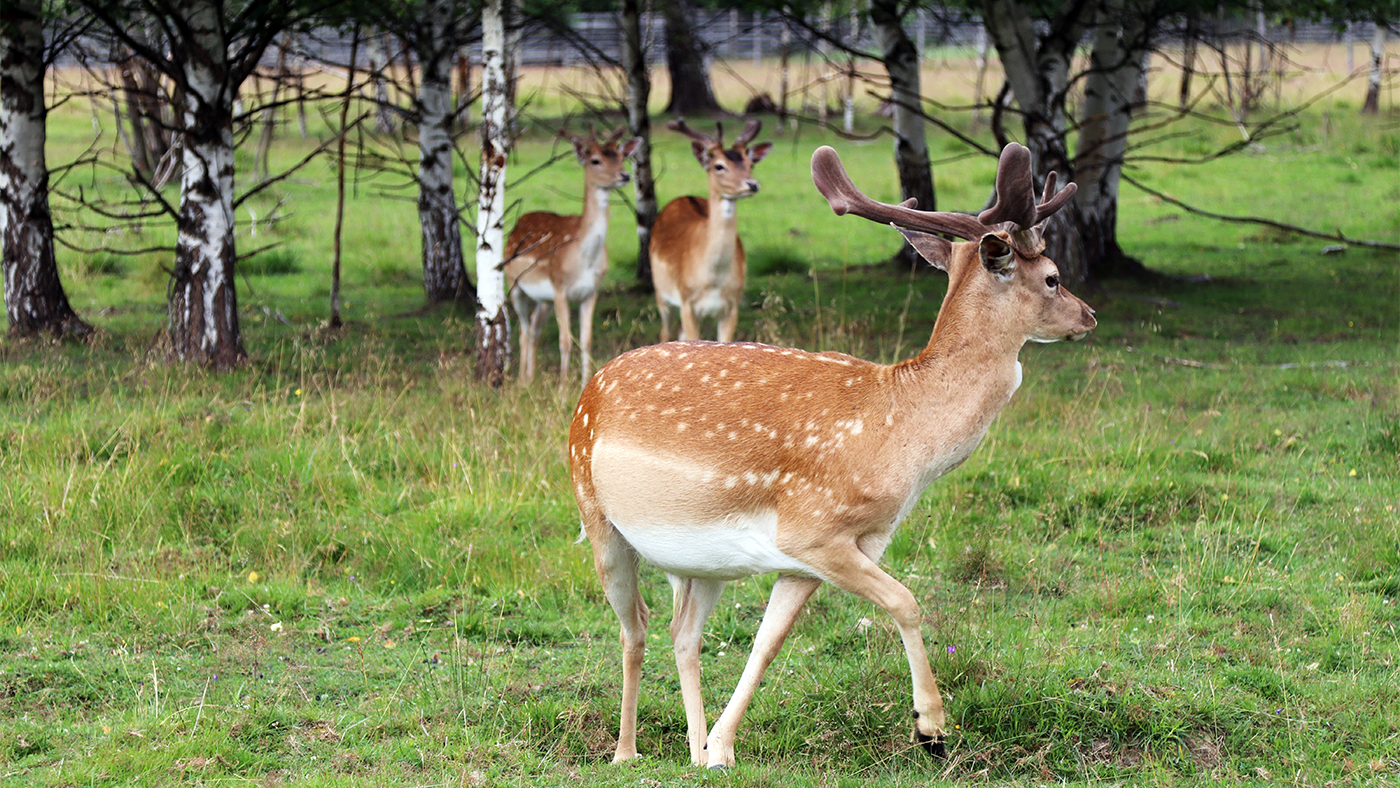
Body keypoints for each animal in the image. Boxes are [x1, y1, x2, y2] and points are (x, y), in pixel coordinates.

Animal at [506, 127, 641, 386]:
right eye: (595, 160)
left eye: (621, 156)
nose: (624, 175)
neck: (584, 260)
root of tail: (519, 223)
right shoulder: (560, 289)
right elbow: (565, 341)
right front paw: (562, 386)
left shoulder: (591, 292)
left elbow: (586, 340)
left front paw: (586, 382)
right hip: (514, 284)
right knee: (523, 330)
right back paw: (521, 381)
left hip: (544, 300)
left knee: (534, 329)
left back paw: (531, 377)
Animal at [565, 143, 1092, 772]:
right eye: (1053, 277)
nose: (1088, 315)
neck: (904, 438)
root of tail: (589, 390)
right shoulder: (813, 528)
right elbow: (907, 601)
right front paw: (930, 726)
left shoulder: (819, 555)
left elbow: (767, 644)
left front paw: (721, 748)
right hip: (598, 518)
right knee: (635, 628)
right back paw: (625, 752)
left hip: (704, 562)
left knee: (682, 630)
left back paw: (693, 749)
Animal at [649, 119, 772, 342]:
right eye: (719, 166)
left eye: (750, 164)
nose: (752, 184)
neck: (713, 280)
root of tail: (683, 197)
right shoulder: (687, 302)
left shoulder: (732, 306)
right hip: (661, 293)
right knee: (665, 332)